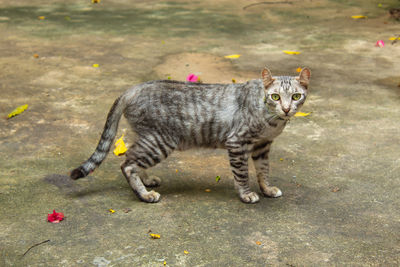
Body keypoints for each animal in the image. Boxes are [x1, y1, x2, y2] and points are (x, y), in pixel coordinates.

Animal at [71, 68, 310, 204]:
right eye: (275, 96)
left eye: (296, 96)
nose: (287, 109)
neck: (272, 120)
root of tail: (134, 88)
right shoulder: (237, 143)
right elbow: (242, 174)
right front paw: (246, 194)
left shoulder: (262, 145)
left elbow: (263, 171)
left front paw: (267, 189)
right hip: (160, 142)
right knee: (127, 164)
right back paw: (145, 195)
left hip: (148, 138)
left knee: (131, 156)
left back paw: (147, 181)